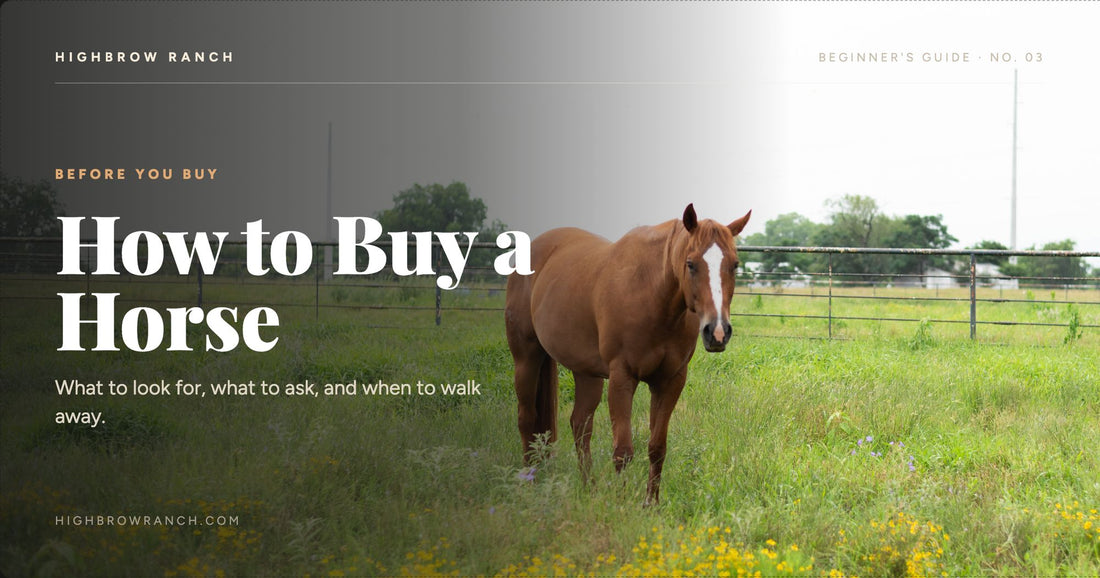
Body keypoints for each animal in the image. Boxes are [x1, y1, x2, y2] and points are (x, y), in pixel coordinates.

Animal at [505, 203, 751, 504]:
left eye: (734, 265)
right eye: (691, 264)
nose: (717, 332)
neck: (652, 295)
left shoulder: (670, 381)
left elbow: (657, 447)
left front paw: (650, 505)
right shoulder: (622, 377)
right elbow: (623, 451)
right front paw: (622, 505)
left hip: (585, 373)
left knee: (580, 425)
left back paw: (589, 488)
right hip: (526, 358)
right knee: (526, 419)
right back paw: (529, 482)